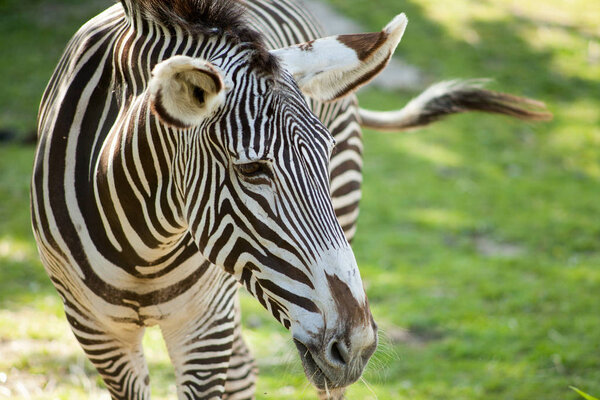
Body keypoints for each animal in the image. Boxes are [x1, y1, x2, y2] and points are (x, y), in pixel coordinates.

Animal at [31, 0, 548, 400]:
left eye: (325, 155)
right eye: (251, 170)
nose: (358, 345)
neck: (144, 245)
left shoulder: (204, 325)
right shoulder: (96, 331)